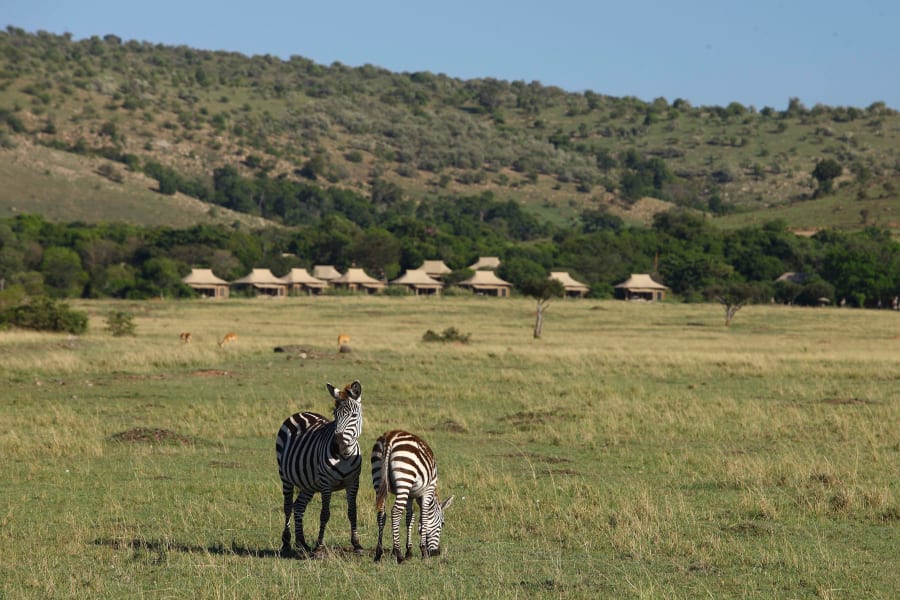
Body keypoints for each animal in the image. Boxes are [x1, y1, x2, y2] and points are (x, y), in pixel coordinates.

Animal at [276, 380, 364, 557]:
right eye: (335, 415)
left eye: (353, 416)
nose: (336, 446)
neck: (344, 456)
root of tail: (301, 413)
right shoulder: (326, 483)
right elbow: (325, 514)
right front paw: (319, 546)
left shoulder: (353, 482)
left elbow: (352, 512)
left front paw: (357, 544)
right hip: (285, 477)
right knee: (288, 506)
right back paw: (287, 542)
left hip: (309, 483)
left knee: (299, 506)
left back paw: (302, 543)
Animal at [371, 430, 454, 563]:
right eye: (442, 524)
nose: (437, 553)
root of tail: (390, 437)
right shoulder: (427, 491)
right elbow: (424, 518)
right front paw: (423, 551)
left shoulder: (410, 495)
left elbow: (410, 518)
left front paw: (408, 551)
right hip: (405, 477)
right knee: (396, 511)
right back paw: (399, 555)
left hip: (378, 478)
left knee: (381, 514)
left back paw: (379, 553)